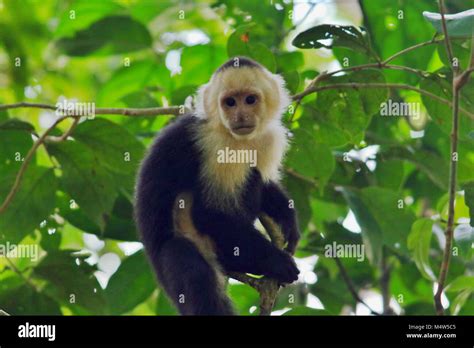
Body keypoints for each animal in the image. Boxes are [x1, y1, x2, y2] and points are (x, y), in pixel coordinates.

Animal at [135, 57, 300, 316]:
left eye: (250, 100)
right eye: (230, 102)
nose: (240, 116)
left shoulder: (268, 139)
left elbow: (264, 184)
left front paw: (286, 216)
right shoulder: (217, 145)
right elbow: (209, 215)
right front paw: (277, 261)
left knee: (251, 176)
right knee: (185, 262)